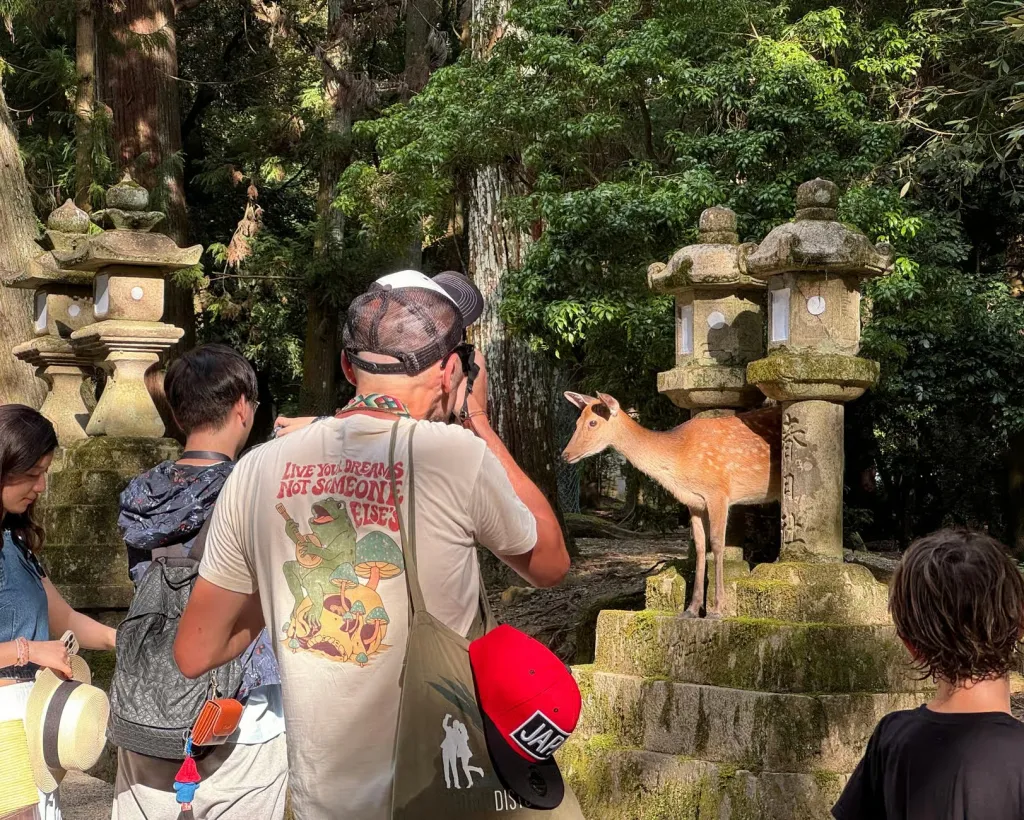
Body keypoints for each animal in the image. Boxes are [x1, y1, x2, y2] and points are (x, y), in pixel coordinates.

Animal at [562, 392, 781, 618]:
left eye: (593, 422)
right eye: (577, 422)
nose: (565, 455)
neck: (679, 459)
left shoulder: (719, 492)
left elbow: (717, 545)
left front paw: (717, 609)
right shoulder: (694, 502)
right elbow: (700, 547)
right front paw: (692, 609)